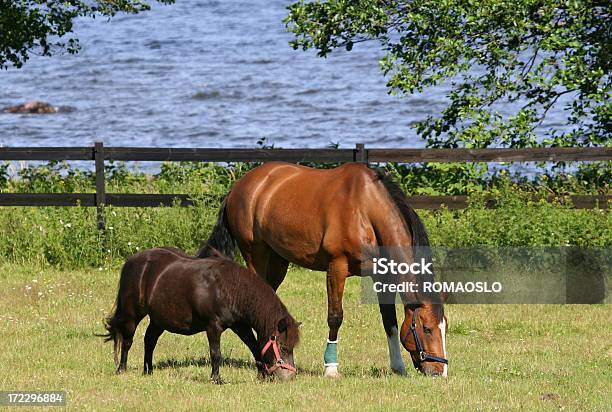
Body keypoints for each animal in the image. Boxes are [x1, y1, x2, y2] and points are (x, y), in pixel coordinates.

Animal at [101, 245, 302, 384]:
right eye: (283, 347)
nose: (290, 376)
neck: (229, 288)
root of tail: (131, 261)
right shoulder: (213, 326)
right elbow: (216, 353)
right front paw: (216, 379)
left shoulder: (240, 326)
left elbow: (254, 347)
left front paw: (262, 374)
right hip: (132, 314)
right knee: (127, 340)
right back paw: (122, 369)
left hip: (159, 320)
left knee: (149, 340)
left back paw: (148, 371)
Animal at [203, 163, 448, 378]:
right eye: (427, 328)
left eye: (445, 327)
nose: (440, 372)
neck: (365, 210)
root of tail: (239, 186)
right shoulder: (336, 267)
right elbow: (335, 317)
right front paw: (331, 368)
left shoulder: (382, 275)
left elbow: (390, 320)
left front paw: (398, 367)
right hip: (256, 253)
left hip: (278, 260)